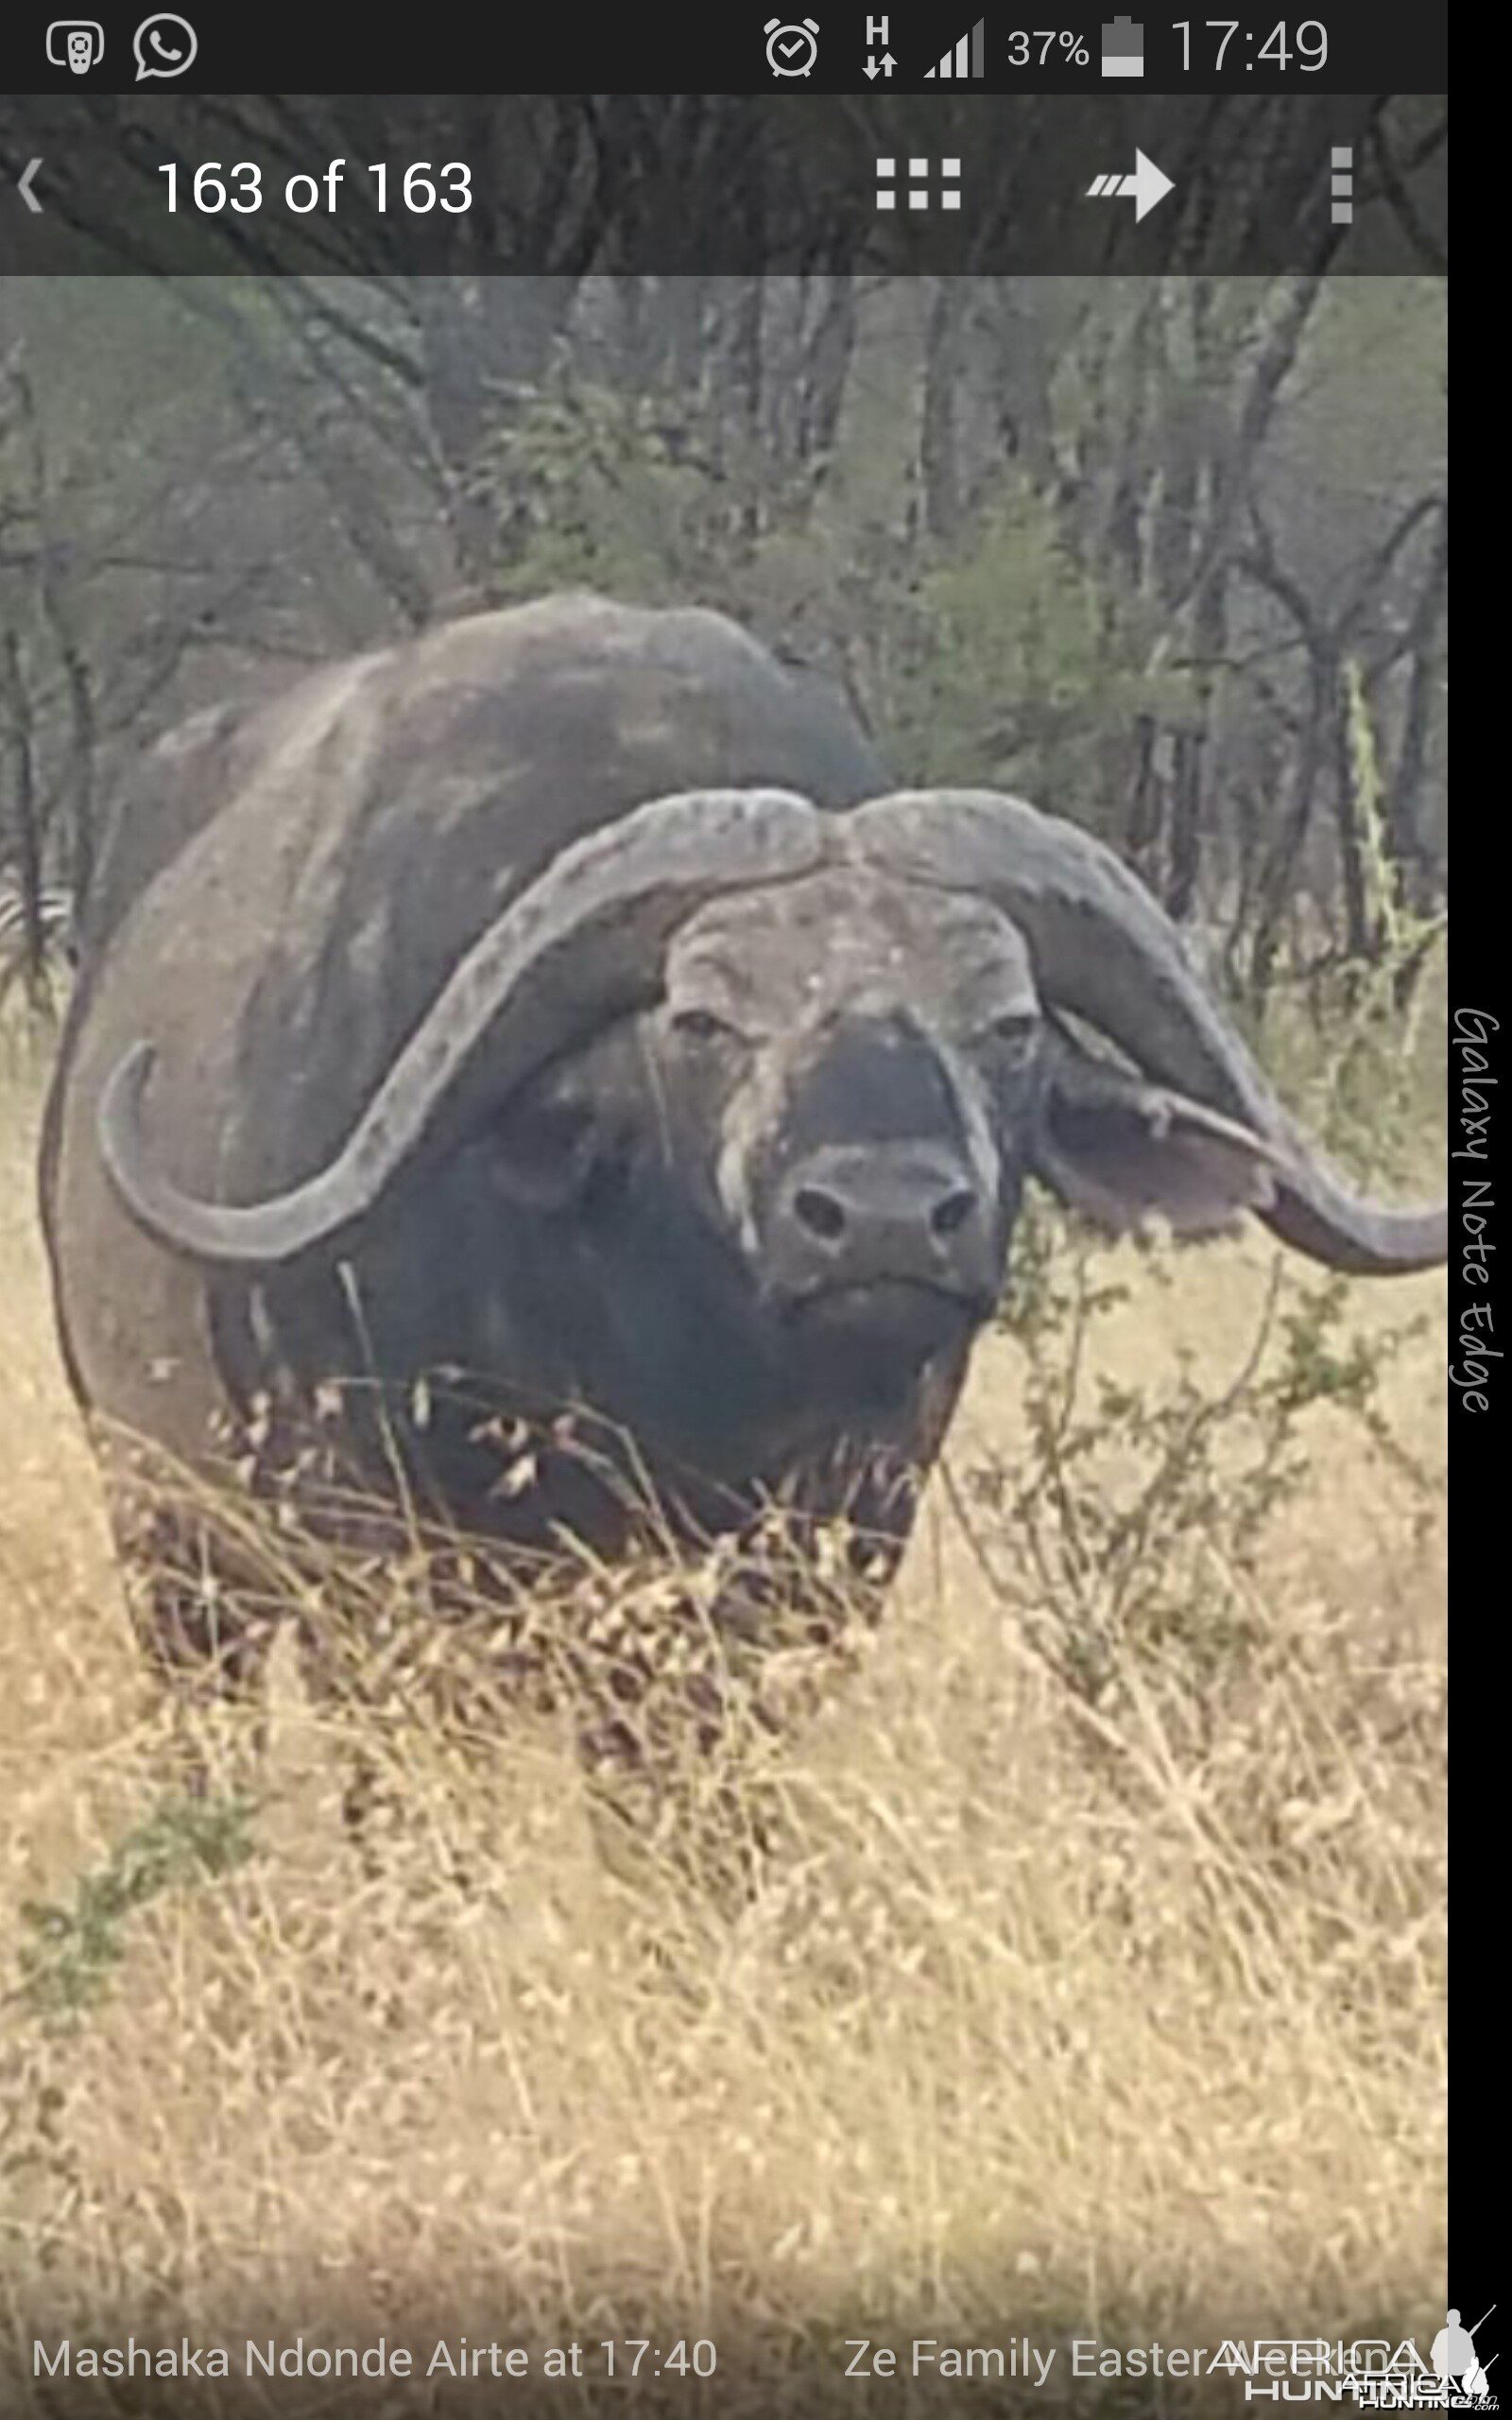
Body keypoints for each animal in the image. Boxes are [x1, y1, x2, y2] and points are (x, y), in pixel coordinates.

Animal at [41, 599, 1441, 1722]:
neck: (646, 1361)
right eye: (703, 1022)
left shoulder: (819, 1564)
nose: (886, 1219)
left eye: (1009, 1026)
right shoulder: (372, 1576)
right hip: (166, 1549)